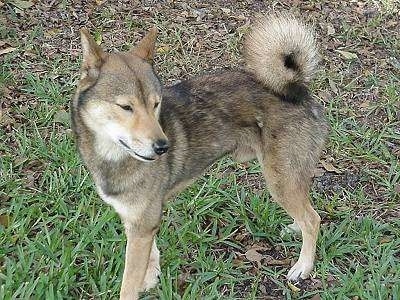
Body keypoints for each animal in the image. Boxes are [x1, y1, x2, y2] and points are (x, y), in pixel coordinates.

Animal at [71, 12, 328, 300]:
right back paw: (295, 227)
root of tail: (297, 89)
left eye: (156, 104)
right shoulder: (141, 222)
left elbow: (128, 285)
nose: (163, 147)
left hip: (280, 180)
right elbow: (151, 253)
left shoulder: (141, 226)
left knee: (313, 219)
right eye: (126, 107)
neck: (113, 156)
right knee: (305, 209)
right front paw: (151, 277)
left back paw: (303, 265)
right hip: (287, 180)